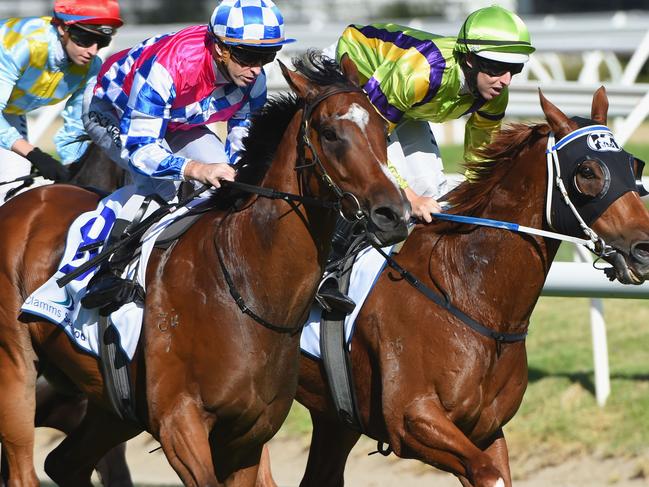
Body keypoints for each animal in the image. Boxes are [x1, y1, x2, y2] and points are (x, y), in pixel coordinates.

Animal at [0, 53, 408, 487]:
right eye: (330, 133)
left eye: (383, 128)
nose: (392, 215)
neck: (247, 284)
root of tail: (22, 205)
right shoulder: (180, 423)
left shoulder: (248, 436)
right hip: (16, 372)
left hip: (111, 406)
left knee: (65, 463)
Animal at [260, 88, 648, 487]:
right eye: (587, 172)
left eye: (634, 167)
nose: (643, 249)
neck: (467, 294)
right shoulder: (412, 420)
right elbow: (489, 474)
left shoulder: (485, 429)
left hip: (334, 419)